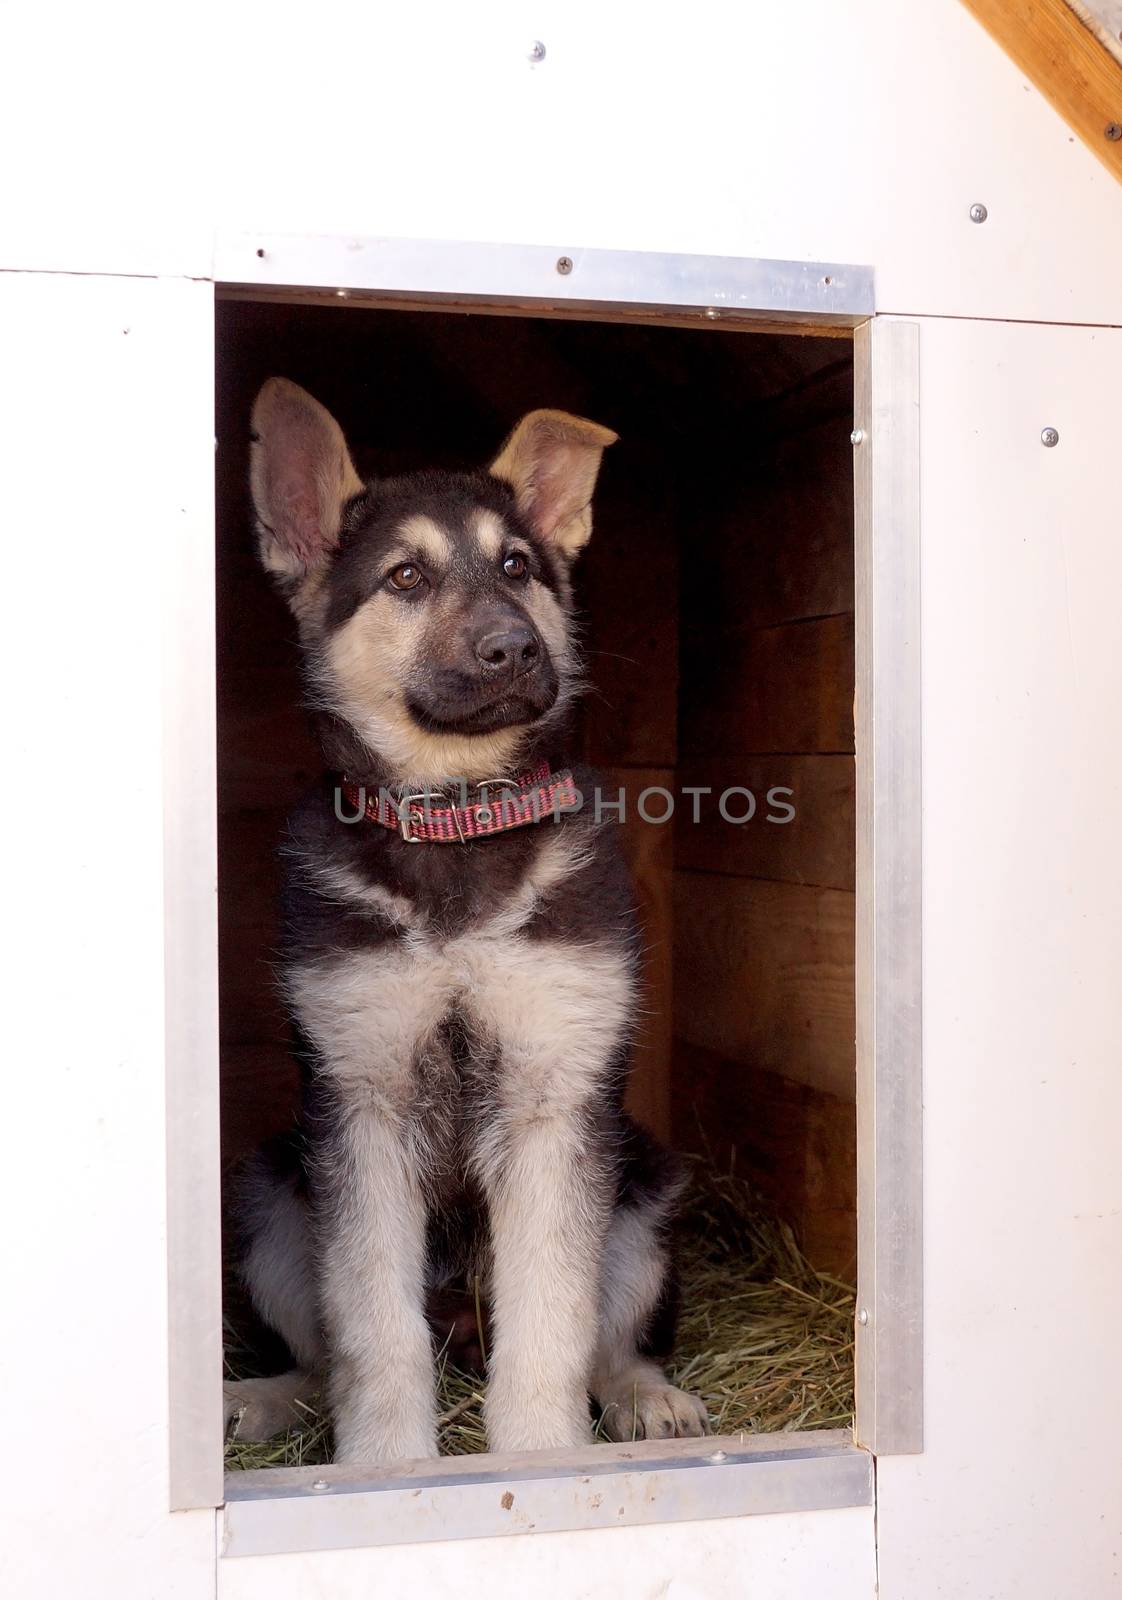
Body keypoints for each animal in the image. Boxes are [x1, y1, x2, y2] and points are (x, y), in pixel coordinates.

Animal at [222, 377, 704, 1465]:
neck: (457, 822)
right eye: (404, 577)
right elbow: (370, 1322)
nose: (515, 647)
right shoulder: (361, 1101)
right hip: (272, 1190)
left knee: (614, 1332)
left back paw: (646, 1395)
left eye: (518, 567)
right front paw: (387, 1467)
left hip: (644, 1186)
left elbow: (552, 1315)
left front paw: (539, 1457)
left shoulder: (555, 1099)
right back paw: (271, 1398)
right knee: (321, 1348)